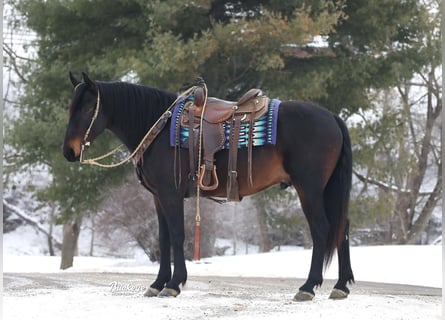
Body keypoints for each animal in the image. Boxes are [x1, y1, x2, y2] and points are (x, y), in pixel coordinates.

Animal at [62, 72, 354, 300]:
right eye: (70, 108)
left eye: (87, 109)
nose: (69, 152)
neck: (159, 127)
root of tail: (333, 118)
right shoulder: (158, 197)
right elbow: (163, 238)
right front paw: (157, 283)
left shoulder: (170, 194)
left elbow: (177, 235)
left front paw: (173, 284)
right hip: (328, 190)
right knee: (343, 228)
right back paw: (341, 286)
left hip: (310, 188)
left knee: (322, 228)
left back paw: (308, 287)